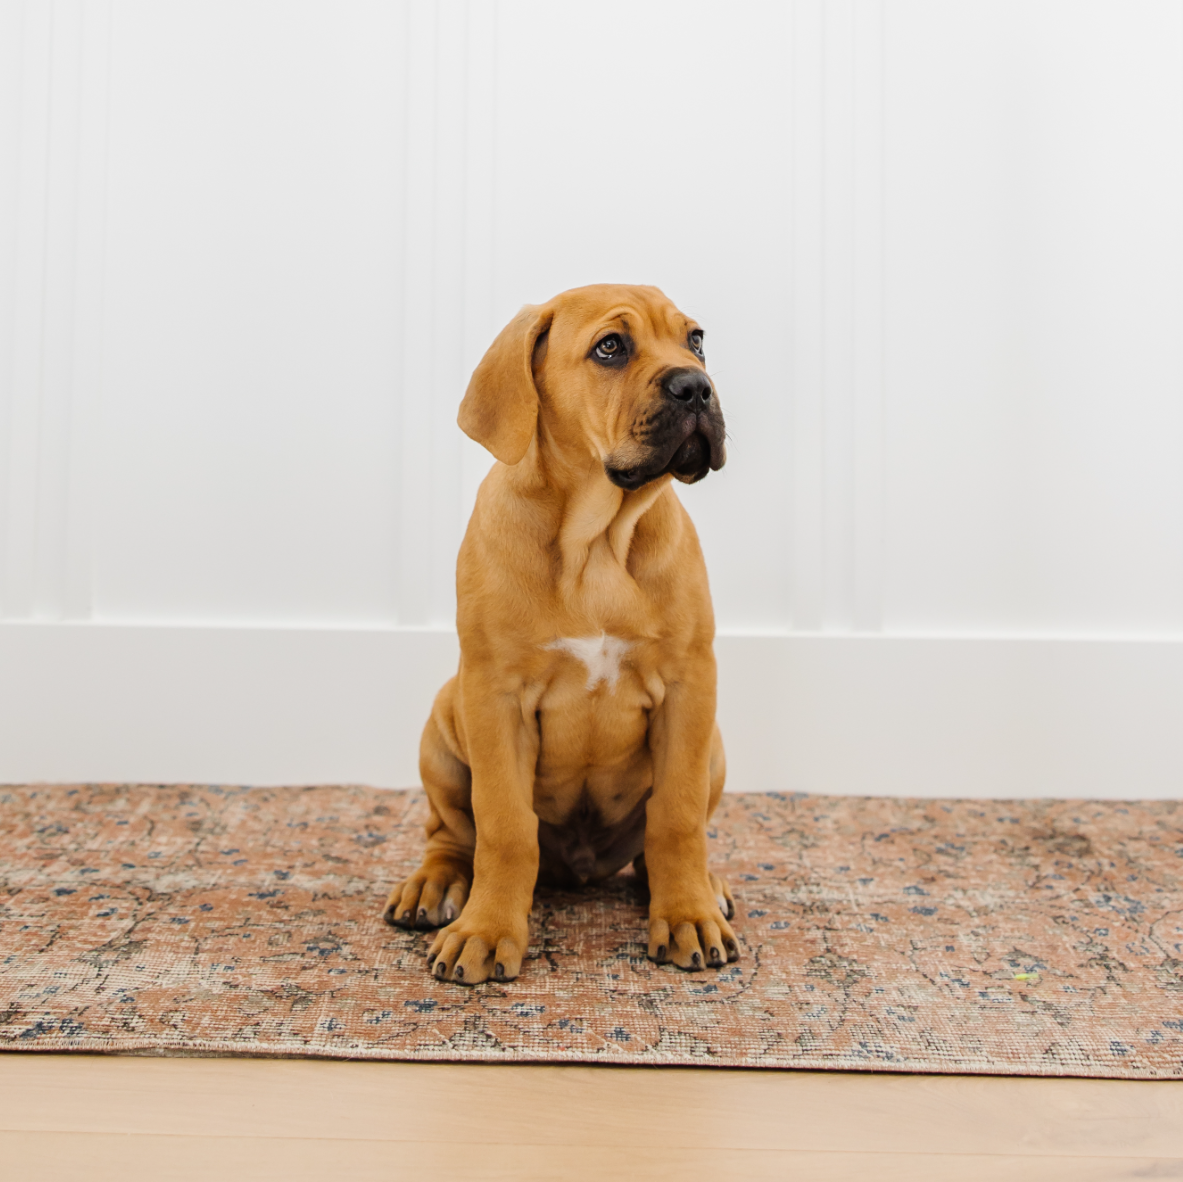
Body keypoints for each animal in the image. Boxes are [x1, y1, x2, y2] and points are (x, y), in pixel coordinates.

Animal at [385, 283, 738, 979]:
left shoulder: (690, 687)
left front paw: (686, 913)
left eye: (696, 341)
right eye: (610, 347)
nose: (697, 387)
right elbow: (503, 826)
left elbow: (676, 818)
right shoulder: (495, 696)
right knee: (451, 833)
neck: (595, 540)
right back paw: (435, 884)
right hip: (444, 724)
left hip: (711, 745)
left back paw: (704, 887)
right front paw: (487, 930)